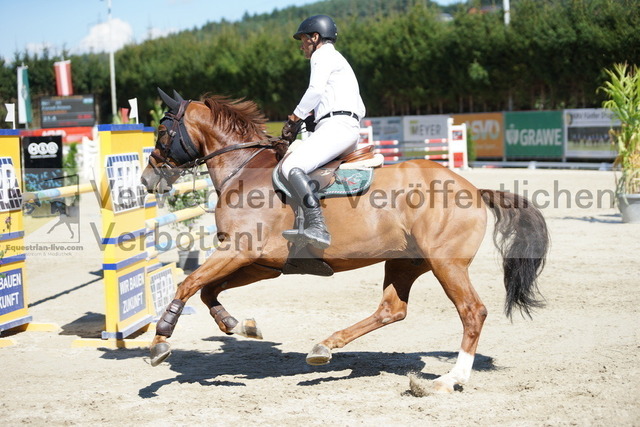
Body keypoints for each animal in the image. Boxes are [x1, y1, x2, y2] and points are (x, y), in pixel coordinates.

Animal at [141, 90, 552, 394]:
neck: (245, 171)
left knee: (472, 311)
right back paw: (325, 348)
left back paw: (452, 379)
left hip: (445, 263)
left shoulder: (240, 249)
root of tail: (474, 189)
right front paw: (239, 326)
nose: (147, 179)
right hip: (405, 261)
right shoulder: (261, 264)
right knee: (392, 309)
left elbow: (189, 283)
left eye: (162, 131)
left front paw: (161, 340)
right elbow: (208, 290)